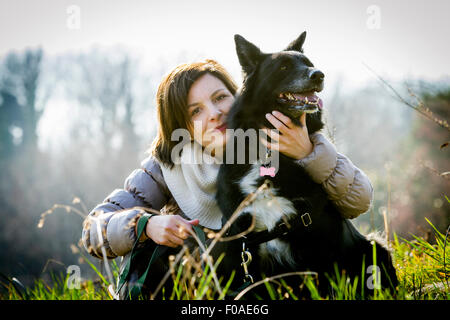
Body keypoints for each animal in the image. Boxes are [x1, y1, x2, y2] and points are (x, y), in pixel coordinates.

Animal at [214, 32, 398, 298]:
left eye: (310, 63)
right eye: (283, 67)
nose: (318, 74)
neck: (268, 151)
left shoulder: (317, 233)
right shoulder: (245, 242)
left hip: (375, 246)